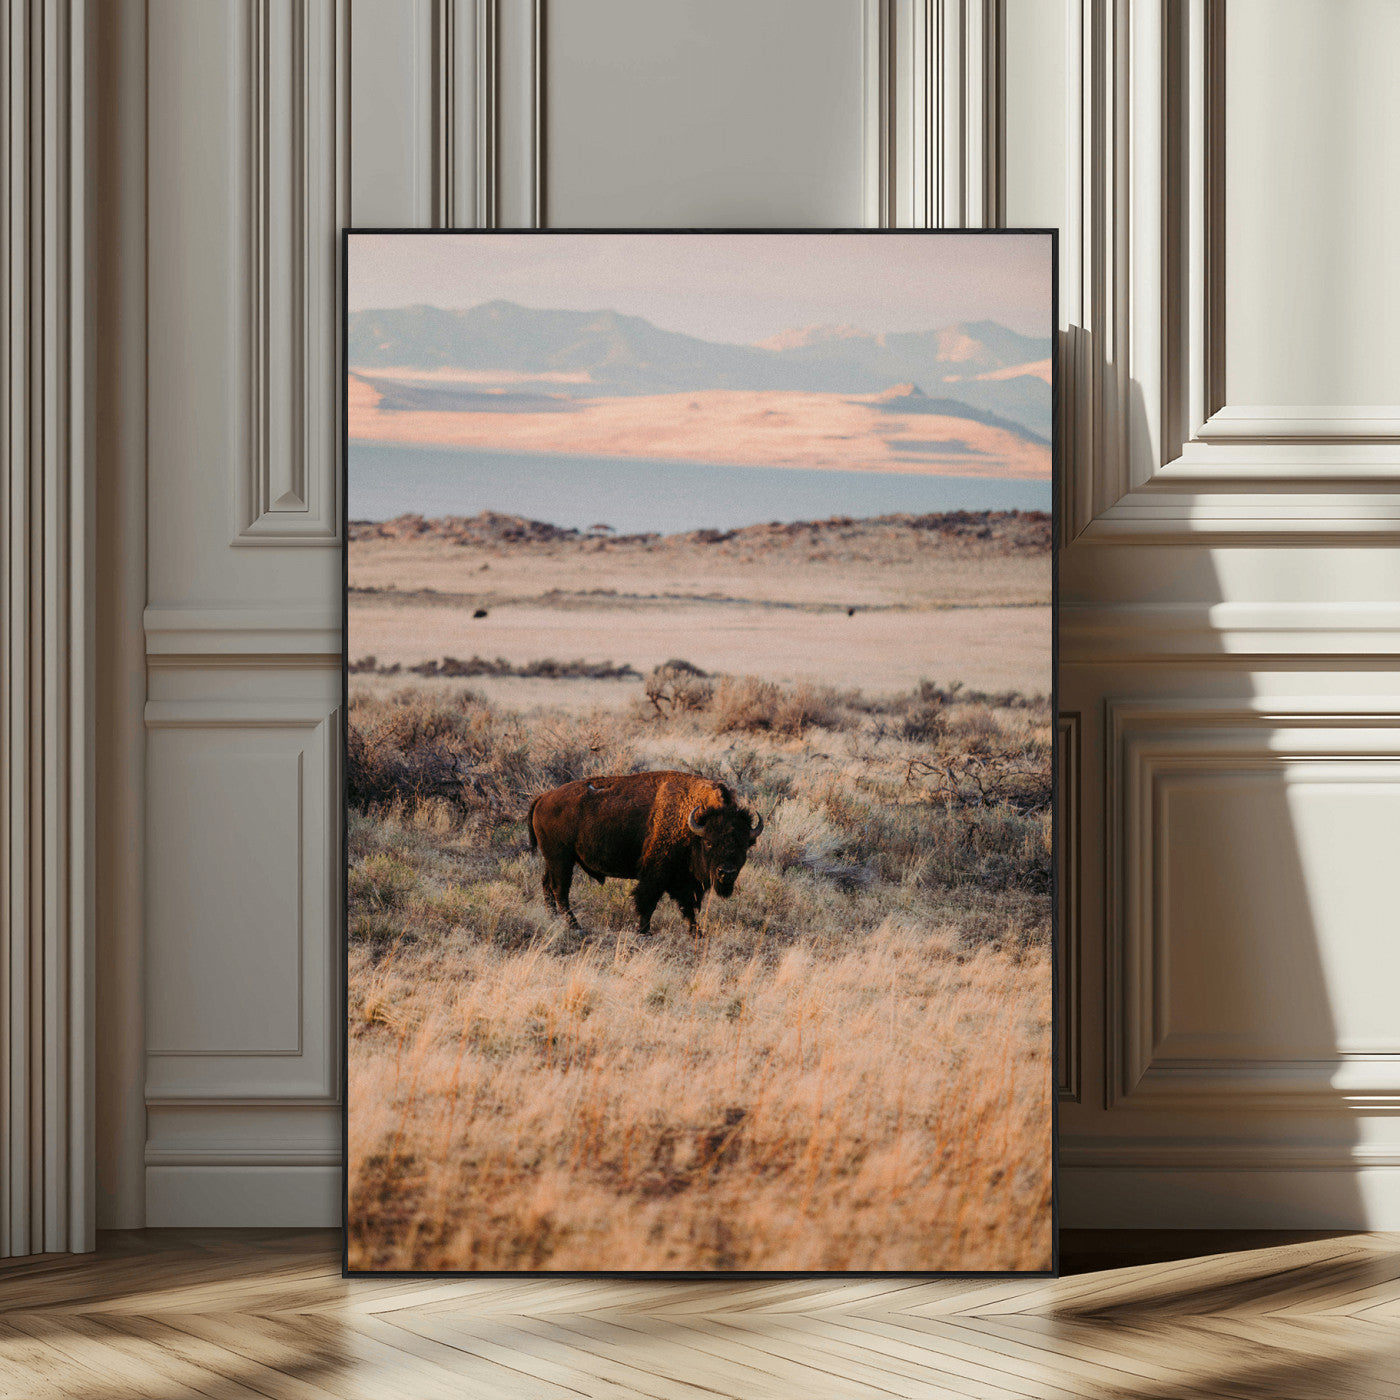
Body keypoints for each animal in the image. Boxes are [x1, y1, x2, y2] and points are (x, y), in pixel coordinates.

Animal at [527, 770, 764, 936]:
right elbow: (648, 901)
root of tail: (543, 797)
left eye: (744, 844)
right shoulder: (656, 874)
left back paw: (554, 919)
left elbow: (688, 906)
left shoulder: (686, 881)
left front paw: (697, 933)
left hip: (555, 860)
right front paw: (643, 931)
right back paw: (575, 927)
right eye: (709, 843)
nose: (726, 872)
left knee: (547, 885)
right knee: (560, 890)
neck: (692, 824)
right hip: (561, 858)